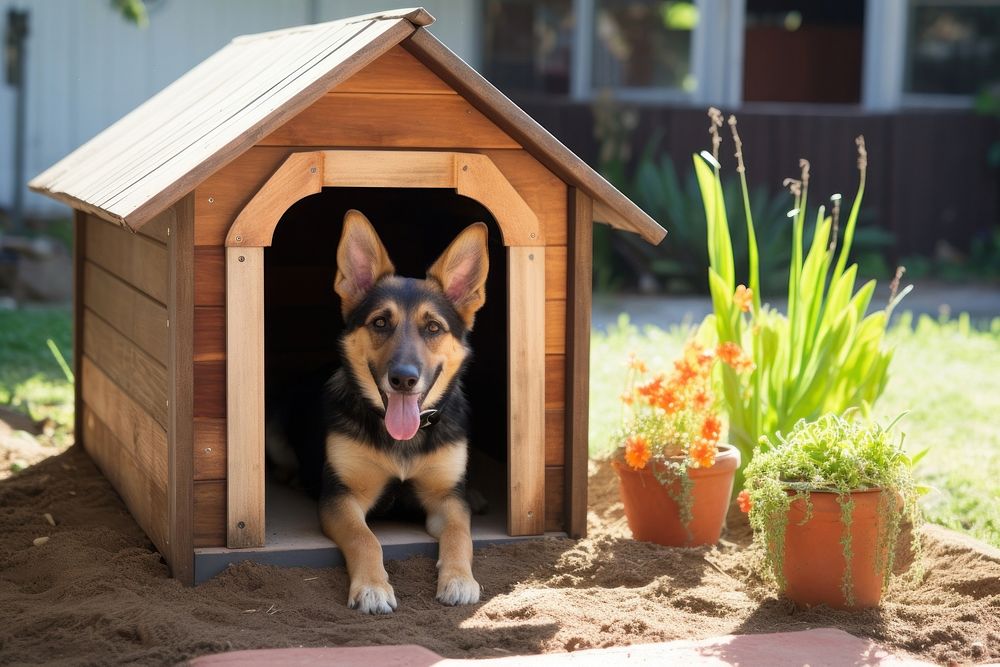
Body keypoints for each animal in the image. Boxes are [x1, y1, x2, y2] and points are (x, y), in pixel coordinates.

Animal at [270, 209, 488, 616]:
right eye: (380, 323)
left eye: (433, 327)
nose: (403, 379)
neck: (401, 439)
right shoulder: (342, 499)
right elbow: (365, 538)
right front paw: (372, 587)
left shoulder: (447, 501)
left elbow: (460, 534)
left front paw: (459, 580)